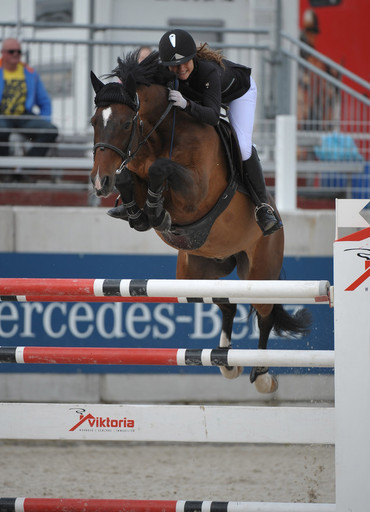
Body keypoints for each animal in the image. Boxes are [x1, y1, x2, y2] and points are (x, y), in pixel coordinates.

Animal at [90, 50, 312, 392]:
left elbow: (162, 169)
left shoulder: (196, 193)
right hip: (195, 273)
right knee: (228, 302)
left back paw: (261, 374)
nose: (100, 183)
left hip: (260, 270)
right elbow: (129, 177)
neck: (160, 134)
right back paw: (226, 362)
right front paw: (139, 214)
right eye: (93, 122)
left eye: (127, 122)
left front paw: (156, 210)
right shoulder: (136, 172)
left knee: (264, 313)